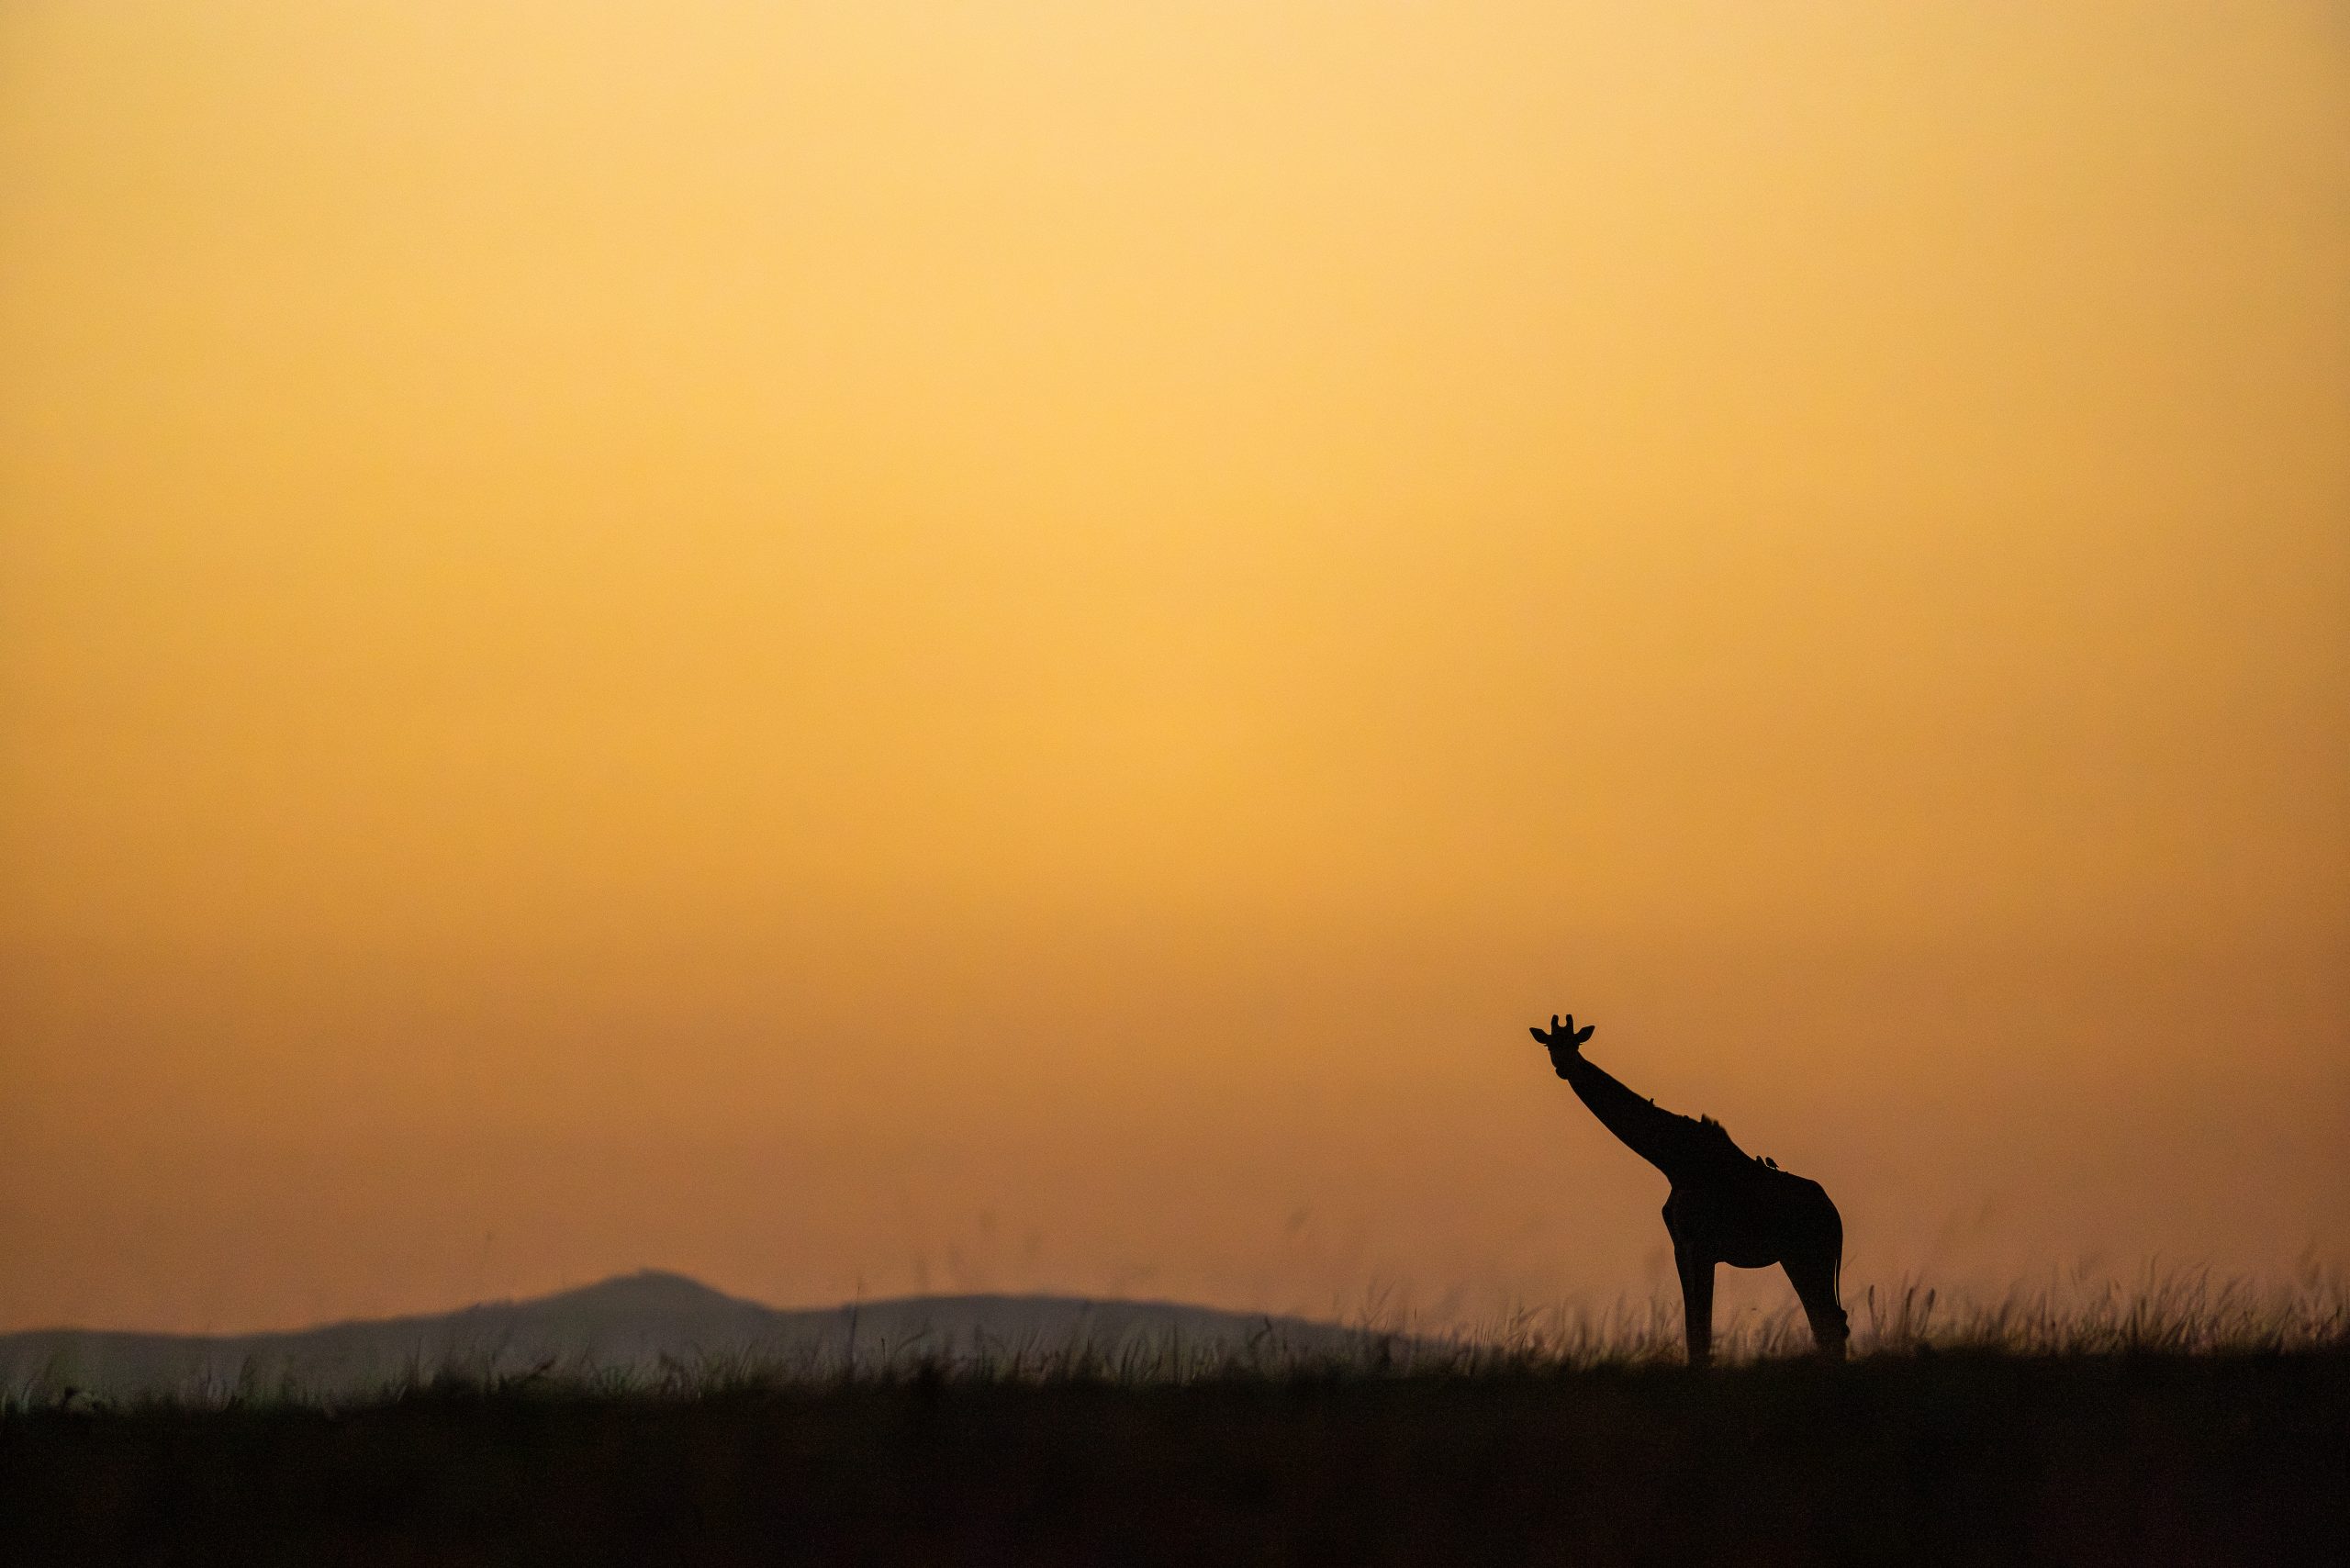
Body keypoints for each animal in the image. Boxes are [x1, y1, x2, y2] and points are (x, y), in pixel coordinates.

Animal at [1529, 1013, 1848, 1366]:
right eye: (1549, 1045)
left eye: (1576, 1043)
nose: (1563, 1066)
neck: (1672, 1160)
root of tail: (1835, 1216)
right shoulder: (1681, 1247)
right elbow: (1694, 1329)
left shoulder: (1701, 1246)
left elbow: (1701, 1330)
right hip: (1802, 1257)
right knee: (1830, 1322)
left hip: (1807, 1255)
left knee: (1827, 1322)